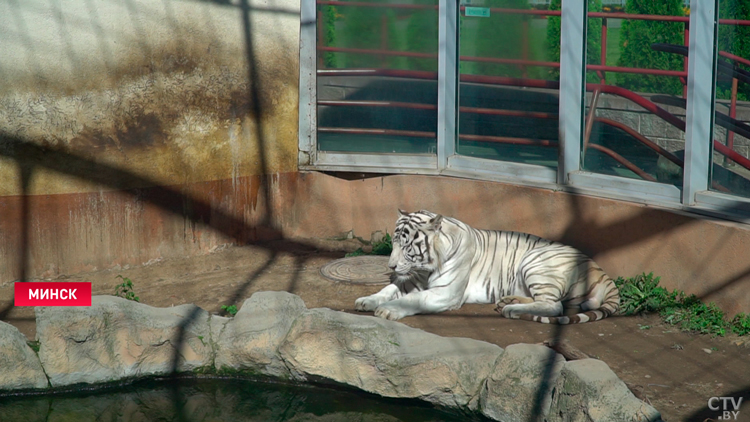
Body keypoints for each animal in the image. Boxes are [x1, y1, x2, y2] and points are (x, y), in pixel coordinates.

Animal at [356, 210, 620, 324]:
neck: (424, 267)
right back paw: (508, 301)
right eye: (393, 243)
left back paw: (512, 309)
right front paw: (367, 301)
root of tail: (602, 272)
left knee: (554, 306)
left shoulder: (445, 293)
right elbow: (388, 290)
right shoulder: (412, 278)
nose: (391, 265)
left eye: (407, 245)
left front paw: (388, 310)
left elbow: (411, 299)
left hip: (535, 260)